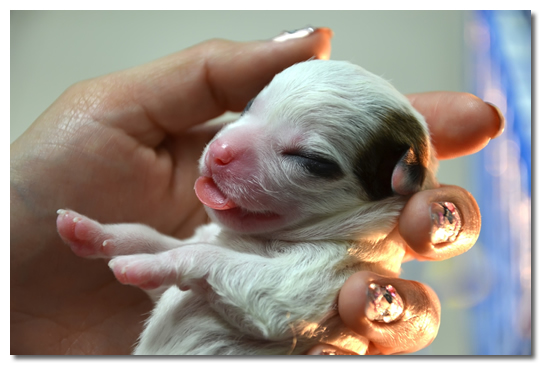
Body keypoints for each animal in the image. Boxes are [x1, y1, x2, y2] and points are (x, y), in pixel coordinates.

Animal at [58, 59, 438, 352]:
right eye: (248, 104)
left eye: (310, 161)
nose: (220, 152)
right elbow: (155, 240)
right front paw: (91, 231)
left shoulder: (327, 274)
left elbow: (208, 259)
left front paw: (142, 265)